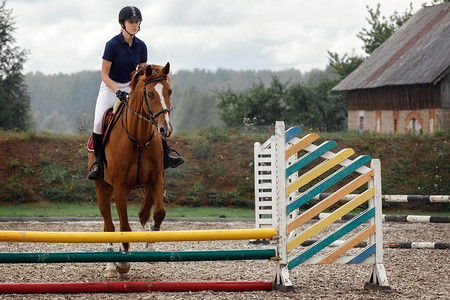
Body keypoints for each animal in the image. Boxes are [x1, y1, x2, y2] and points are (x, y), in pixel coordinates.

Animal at [88, 62, 172, 278]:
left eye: (169, 92)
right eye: (150, 94)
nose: (165, 130)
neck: (138, 137)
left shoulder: (156, 180)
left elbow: (159, 212)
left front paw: (150, 246)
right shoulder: (120, 188)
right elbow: (124, 226)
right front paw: (123, 263)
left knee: (143, 212)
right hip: (102, 187)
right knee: (109, 226)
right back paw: (111, 265)